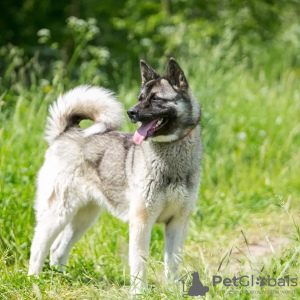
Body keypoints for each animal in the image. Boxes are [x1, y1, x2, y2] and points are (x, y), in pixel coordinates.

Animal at [28, 57, 203, 294]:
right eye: (140, 98)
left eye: (156, 99)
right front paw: (139, 294)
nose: (131, 112)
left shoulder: (178, 222)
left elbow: (173, 263)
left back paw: (61, 278)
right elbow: (139, 263)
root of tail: (66, 132)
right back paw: (33, 281)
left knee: (57, 249)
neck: (171, 159)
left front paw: (174, 291)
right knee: (38, 246)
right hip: (58, 213)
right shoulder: (141, 222)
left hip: (84, 218)